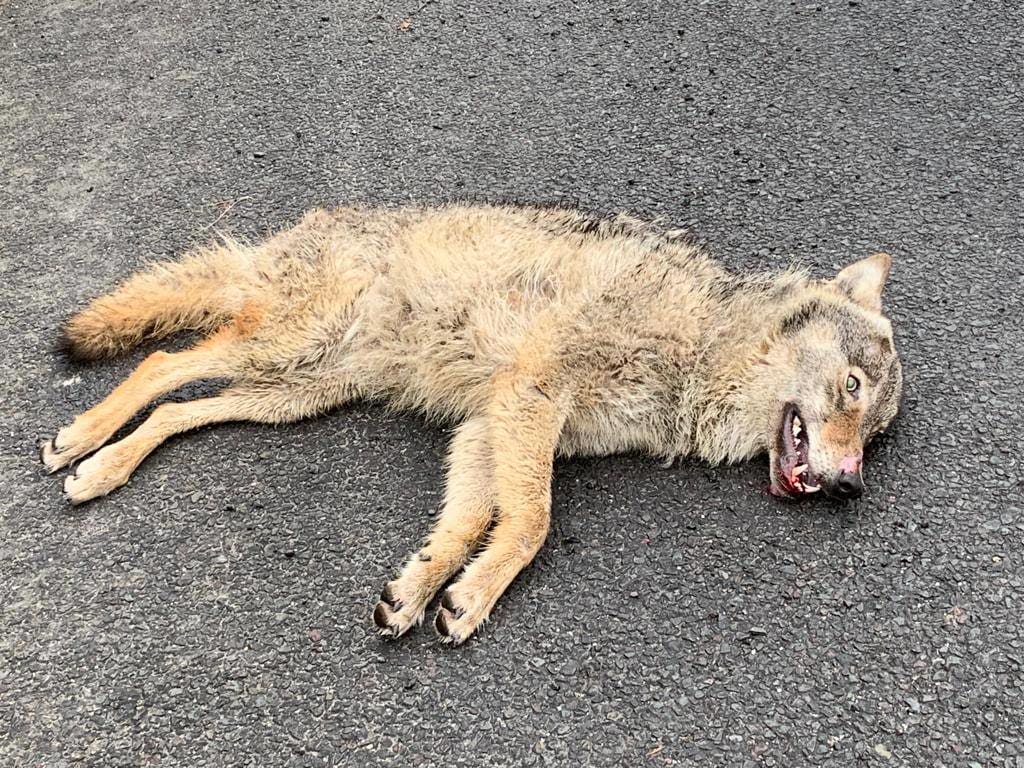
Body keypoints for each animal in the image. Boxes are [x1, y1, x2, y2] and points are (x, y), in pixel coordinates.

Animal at [39, 203, 903, 644]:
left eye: (874, 436)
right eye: (852, 389)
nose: (851, 488)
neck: (703, 340)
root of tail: (291, 234)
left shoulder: (490, 425)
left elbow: (465, 525)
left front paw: (422, 588)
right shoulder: (530, 396)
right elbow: (531, 524)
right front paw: (475, 597)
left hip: (294, 392)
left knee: (178, 407)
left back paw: (102, 469)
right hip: (284, 350)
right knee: (160, 365)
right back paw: (81, 442)